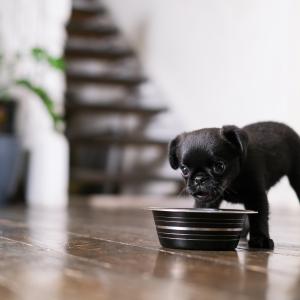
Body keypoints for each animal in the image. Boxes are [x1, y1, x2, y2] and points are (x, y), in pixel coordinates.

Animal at [169, 120, 300, 250]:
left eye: (219, 166)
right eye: (184, 170)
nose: (199, 179)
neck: (232, 182)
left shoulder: (256, 195)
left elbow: (259, 218)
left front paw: (260, 239)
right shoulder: (206, 202)